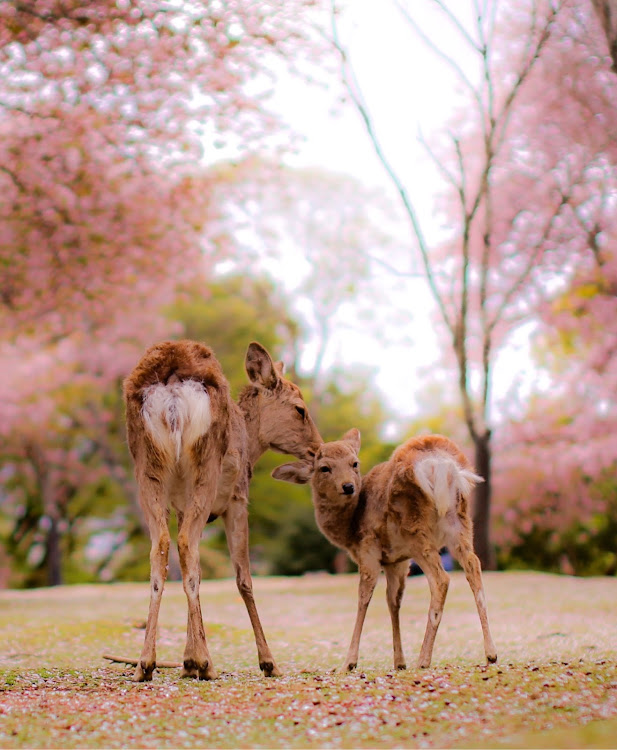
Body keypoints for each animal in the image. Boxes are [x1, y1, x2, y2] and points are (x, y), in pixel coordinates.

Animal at [122, 340, 320, 680]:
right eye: (300, 409)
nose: (318, 449)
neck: (252, 448)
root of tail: (172, 389)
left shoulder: (180, 505)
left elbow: (191, 567)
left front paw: (187, 661)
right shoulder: (238, 498)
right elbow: (244, 578)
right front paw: (268, 662)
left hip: (147, 470)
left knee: (162, 548)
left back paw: (146, 664)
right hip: (207, 467)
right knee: (187, 546)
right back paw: (204, 664)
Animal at [272, 432, 498, 672]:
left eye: (354, 463)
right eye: (324, 468)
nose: (348, 486)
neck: (350, 527)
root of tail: (439, 463)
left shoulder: (369, 549)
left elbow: (364, 597)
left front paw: (349, 663)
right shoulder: (396, 561)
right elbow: (393, 601)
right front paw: (399, 662)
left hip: (416, 532)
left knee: (441, 579)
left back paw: (423, 660)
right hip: (460, 525)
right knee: (474, 567)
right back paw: (491, 654)